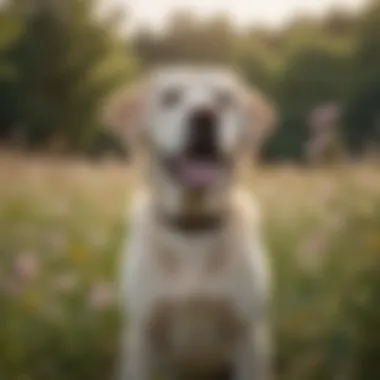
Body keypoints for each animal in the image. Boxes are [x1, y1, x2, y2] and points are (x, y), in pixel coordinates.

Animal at [107, 66, 276, 380]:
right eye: (170, 97)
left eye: (224, 98)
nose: (204, 117)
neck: (193, 228)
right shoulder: (143, 333)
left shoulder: (248, 333)